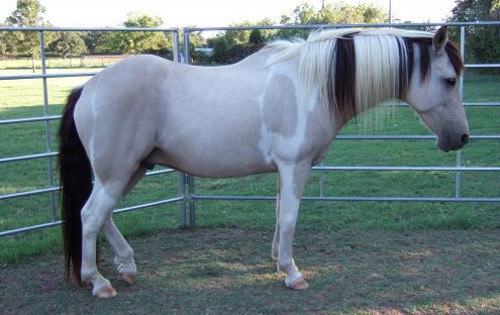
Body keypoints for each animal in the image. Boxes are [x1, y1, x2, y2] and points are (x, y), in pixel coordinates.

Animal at [58, 25, 468, 298]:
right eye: (449, 80)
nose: (461, 138)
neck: (310, 86)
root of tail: (88, 87)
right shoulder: (295, 165)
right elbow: (289, 219)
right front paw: (292, 273)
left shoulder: (285, 171)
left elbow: (278, 214)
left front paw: (275, 258)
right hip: (117, 172)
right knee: (91, 216)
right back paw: (99, 282)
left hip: (130, 169)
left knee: (102, 215)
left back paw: (127, 266)